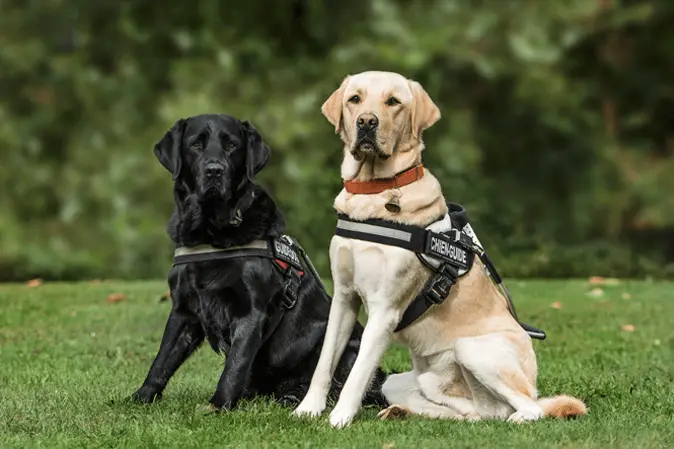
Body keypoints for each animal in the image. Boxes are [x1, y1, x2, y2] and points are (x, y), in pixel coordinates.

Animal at [130, 114, 388, 412]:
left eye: (232, 145)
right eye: (196, 144)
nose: (214, 171)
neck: (212, 234)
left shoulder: (250, 312)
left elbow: (234, 365)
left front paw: (218, 406)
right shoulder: (183, 310)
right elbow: (162, 360)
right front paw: (140, 398)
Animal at [292, 70, 584, 428]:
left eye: (393, 101)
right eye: (355, 99)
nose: (367, 122)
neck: (375, 193)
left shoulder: (385, 310)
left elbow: (357, 371)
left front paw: (338, 419)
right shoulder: (344, 298)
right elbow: (324, 362)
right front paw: (308, 409)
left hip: (474, 350)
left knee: (530, 407)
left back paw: (518, 417)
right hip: (404, 382)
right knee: (470, 415)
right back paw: (400, 411)